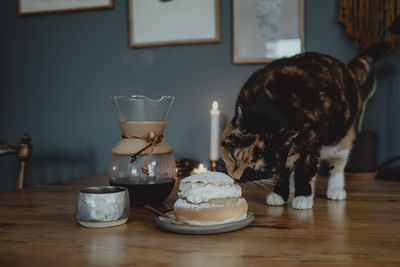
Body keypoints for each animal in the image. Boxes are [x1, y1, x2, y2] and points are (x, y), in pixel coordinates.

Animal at [219, 40, 396, 210]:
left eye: (256, 167)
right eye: (233, 156)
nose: (236, 177)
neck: (274, 107)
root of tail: (346, 68)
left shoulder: (312, 143)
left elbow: (305, 171)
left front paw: (303, 197)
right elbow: (283, 172)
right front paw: (280, 195)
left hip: (340, 138)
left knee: (338, 164)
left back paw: (336, 190)